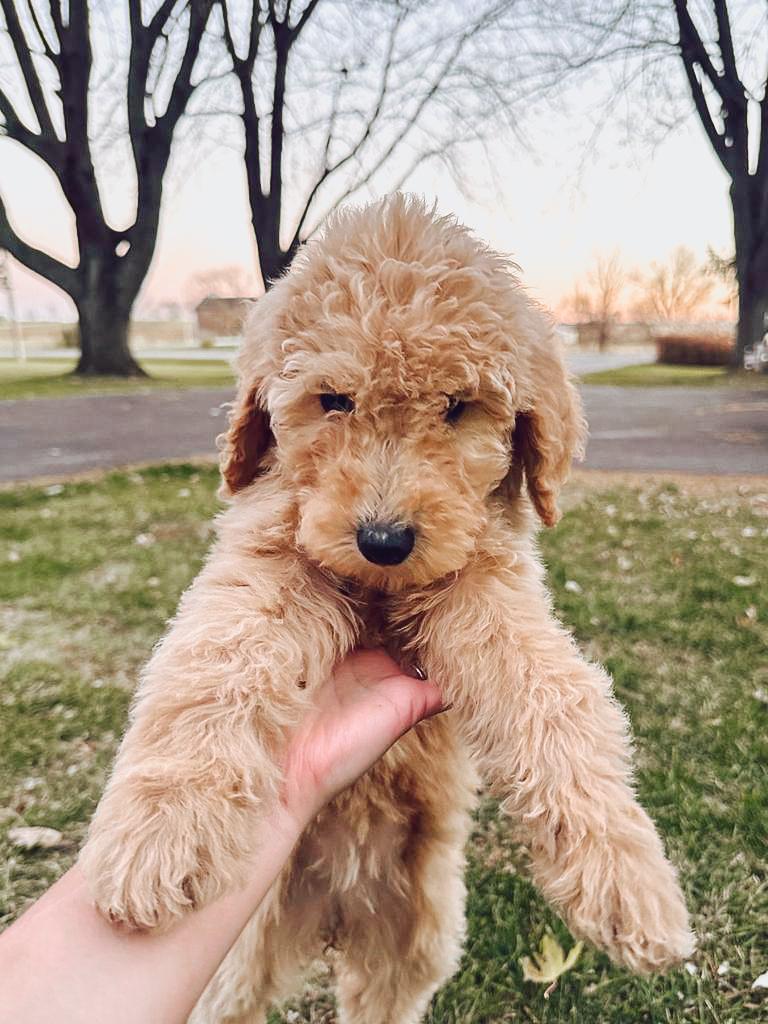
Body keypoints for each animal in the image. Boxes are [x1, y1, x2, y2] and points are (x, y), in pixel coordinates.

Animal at [80, 195, 694, 1023]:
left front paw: (630, 879)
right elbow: (218, 658)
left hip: (415, 948)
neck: (377, 591)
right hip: (238, 962)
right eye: (334, 400)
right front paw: (157, 832)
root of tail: (336, 912)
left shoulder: (487, 586)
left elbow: (555, 697)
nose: (383, 539)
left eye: (459, 407)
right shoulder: (269, 558)